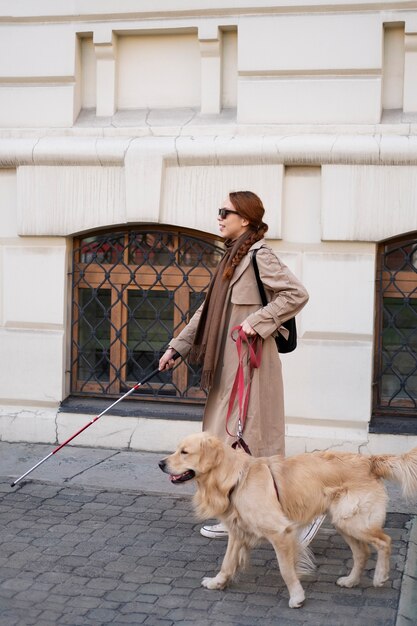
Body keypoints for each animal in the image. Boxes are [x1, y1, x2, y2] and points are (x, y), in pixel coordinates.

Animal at [158, 432, 416, 608]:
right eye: (176, 450)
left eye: (184, 452)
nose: (161, 463)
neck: (235, 478)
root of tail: (370, 460)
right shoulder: (238, 531)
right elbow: (227, 562)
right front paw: (217, 582)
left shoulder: (280, 532)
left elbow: (285, 569)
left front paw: (297, 596)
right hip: (343, 522)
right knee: (362, 552)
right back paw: (351, 581)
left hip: (354, 521)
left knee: (384, 541)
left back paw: (380, 576)